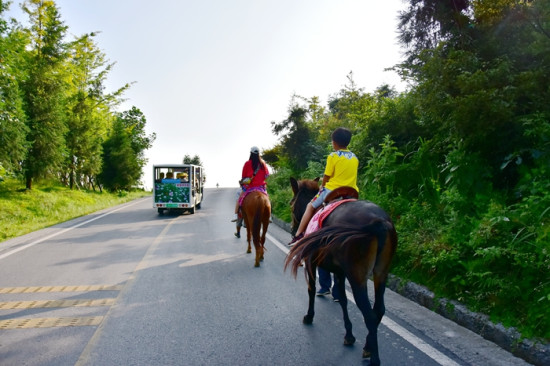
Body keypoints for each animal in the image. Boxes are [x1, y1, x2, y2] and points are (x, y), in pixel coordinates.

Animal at [286, 176, 398, 364]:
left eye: (291, 205)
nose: (294, 231)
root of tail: (380, 222)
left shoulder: (310, 262)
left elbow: (311, 289)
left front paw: (309, 316)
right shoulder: (339, 271)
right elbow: (343, 300)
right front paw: (349, 335)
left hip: (357, 275)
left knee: (369, 314)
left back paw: (374, 357)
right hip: (381, 273)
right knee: (379, 309)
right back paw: (368, 346)